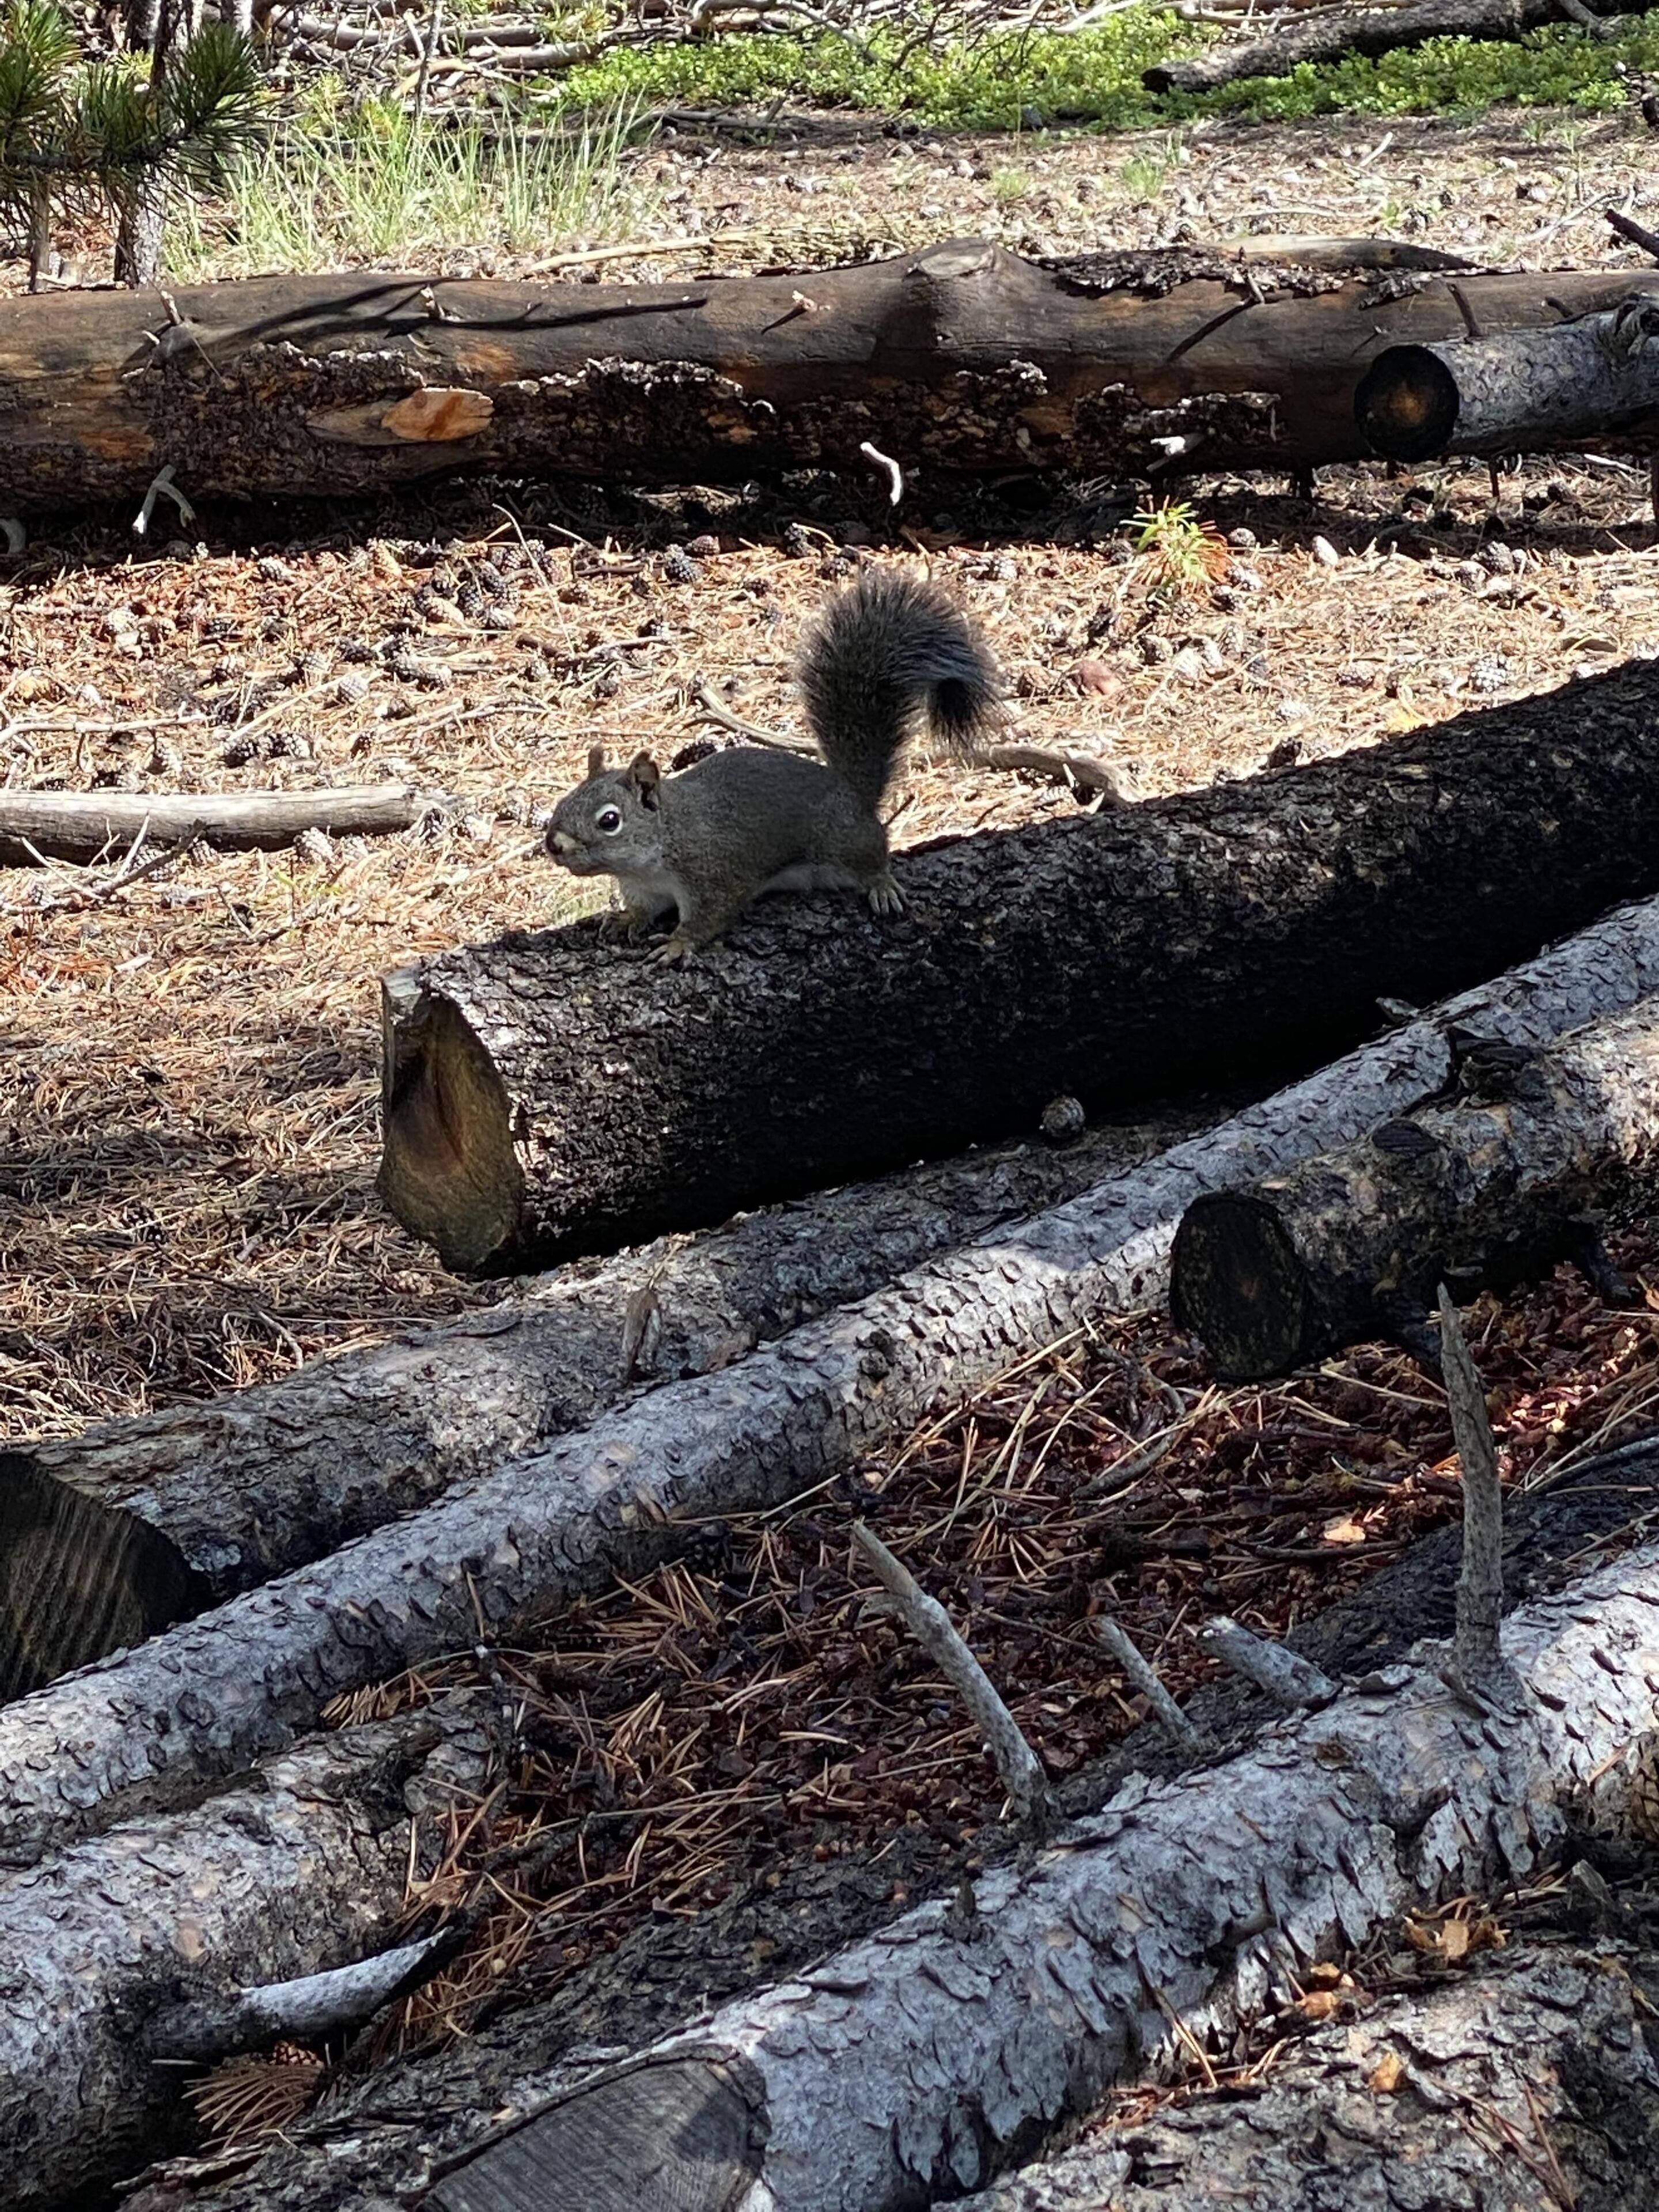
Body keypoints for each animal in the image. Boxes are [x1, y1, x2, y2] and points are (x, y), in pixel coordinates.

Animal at [544, 567, 1000, 963]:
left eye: (609, 820)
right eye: (564, 801)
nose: (555, 845)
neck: (663, 839)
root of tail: (852, 791)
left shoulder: (715, 875)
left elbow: (710, 917)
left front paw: (679, 944)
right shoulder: (645, 888)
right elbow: (643, 909)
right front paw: (626, 919)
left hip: (846, 841)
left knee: (874, 853)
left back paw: (881, 884)